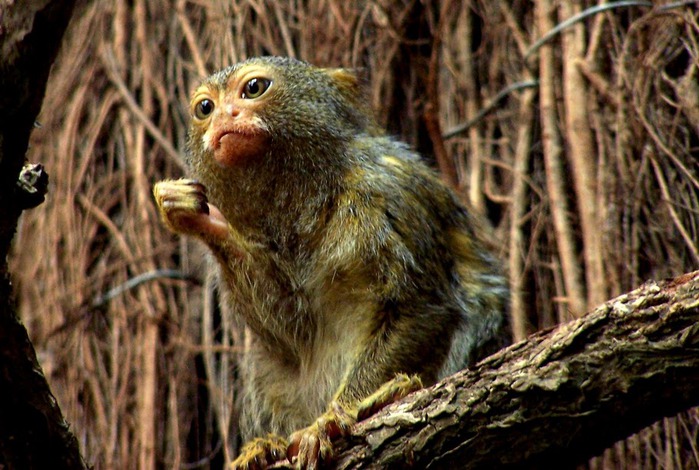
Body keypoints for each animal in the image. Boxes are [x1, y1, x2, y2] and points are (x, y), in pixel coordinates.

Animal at [153, 57, 508, 468]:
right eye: (205, 109)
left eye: (254, 88)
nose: (225, 116)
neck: (314, 192)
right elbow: (291, 328)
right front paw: (202, 219)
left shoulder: (388, 192)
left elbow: (419, 305)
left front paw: (335, 417)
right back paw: (266, 447)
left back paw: (387, 396)